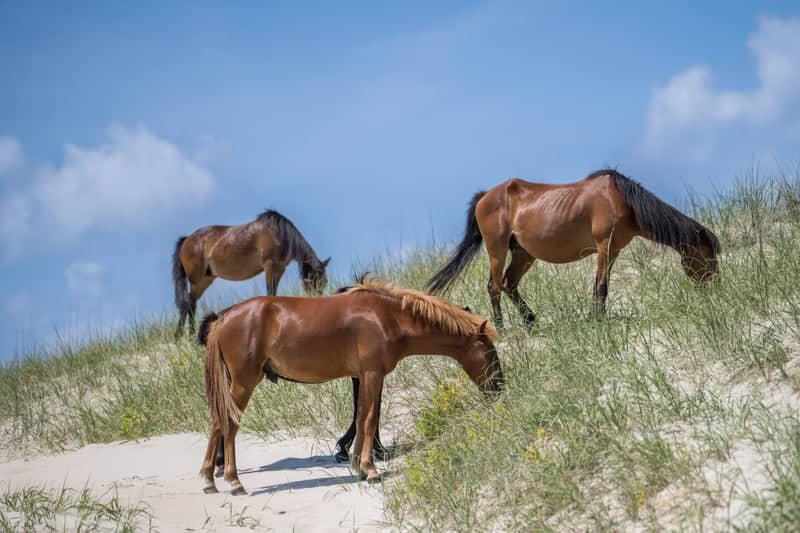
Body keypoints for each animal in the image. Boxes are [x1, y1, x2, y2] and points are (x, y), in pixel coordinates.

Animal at [172, 209, 330, 337]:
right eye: (313, 280)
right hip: (197, 280)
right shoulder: (269, 265)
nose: (319, 304)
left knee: (191, 302)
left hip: (206, 279)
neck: (279, 234)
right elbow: (270, 291)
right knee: (188, 303)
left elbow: (274, 291)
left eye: (325, 281)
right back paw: (184, 335)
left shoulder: (279, 268)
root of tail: (187, 239)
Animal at [198, 276, 503, 494]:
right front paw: (370, 469)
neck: (387, 317)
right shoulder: (372, 374)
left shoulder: (366, 376)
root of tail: (223, 318)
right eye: (489, 350)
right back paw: (234, 482)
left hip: (231, 384)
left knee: (216, 423)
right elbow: (368, 419)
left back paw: (208, 479)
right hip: (244, 383)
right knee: (229, 424)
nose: (499, 388)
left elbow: (361, 416)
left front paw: (358, 464)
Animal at [427, 169, 720, 328]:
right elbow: (601, 287)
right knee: (494, 286)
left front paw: (595, 317)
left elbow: (599, 286)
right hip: (496, 249)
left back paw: (531, 322)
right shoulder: (605, 246)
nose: (714, 286)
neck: (623, 201)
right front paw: (599, 320)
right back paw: (502, 327)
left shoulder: (613, 250)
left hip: (523, 253)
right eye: (709, 255)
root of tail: (485, 196)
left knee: (509, 284)